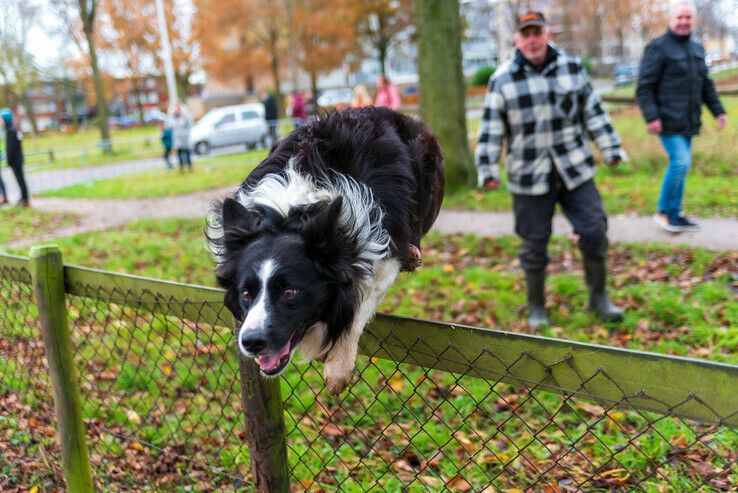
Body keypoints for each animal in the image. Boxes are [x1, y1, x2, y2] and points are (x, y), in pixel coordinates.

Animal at [210, 108, 446, 396]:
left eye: (289, 292)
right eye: (245, 293)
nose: (251, 342)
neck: (292, 214)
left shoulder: (382, 249)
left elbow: (360, 301)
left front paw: (338, 369)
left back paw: (412, 253)